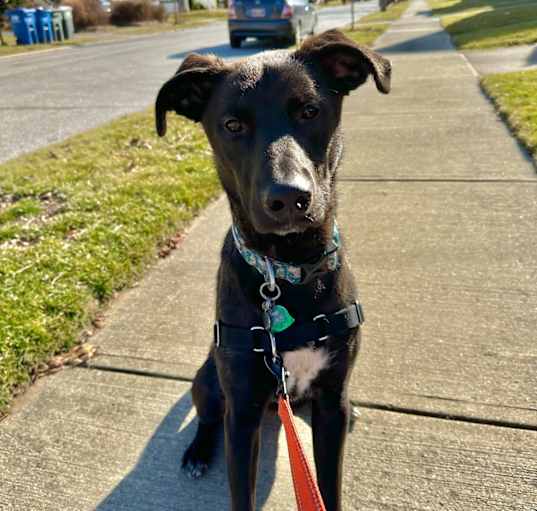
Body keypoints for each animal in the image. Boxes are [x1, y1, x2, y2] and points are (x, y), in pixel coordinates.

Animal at [155, 30, 390, 510]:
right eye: (232, 125)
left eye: (310, 110)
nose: (288, 198)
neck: (284, 270)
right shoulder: (242, 412)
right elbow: (240, 491)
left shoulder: (331, 403)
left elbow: (329, 486)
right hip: (207, 381)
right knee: (208, 417)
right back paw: (197, 451)